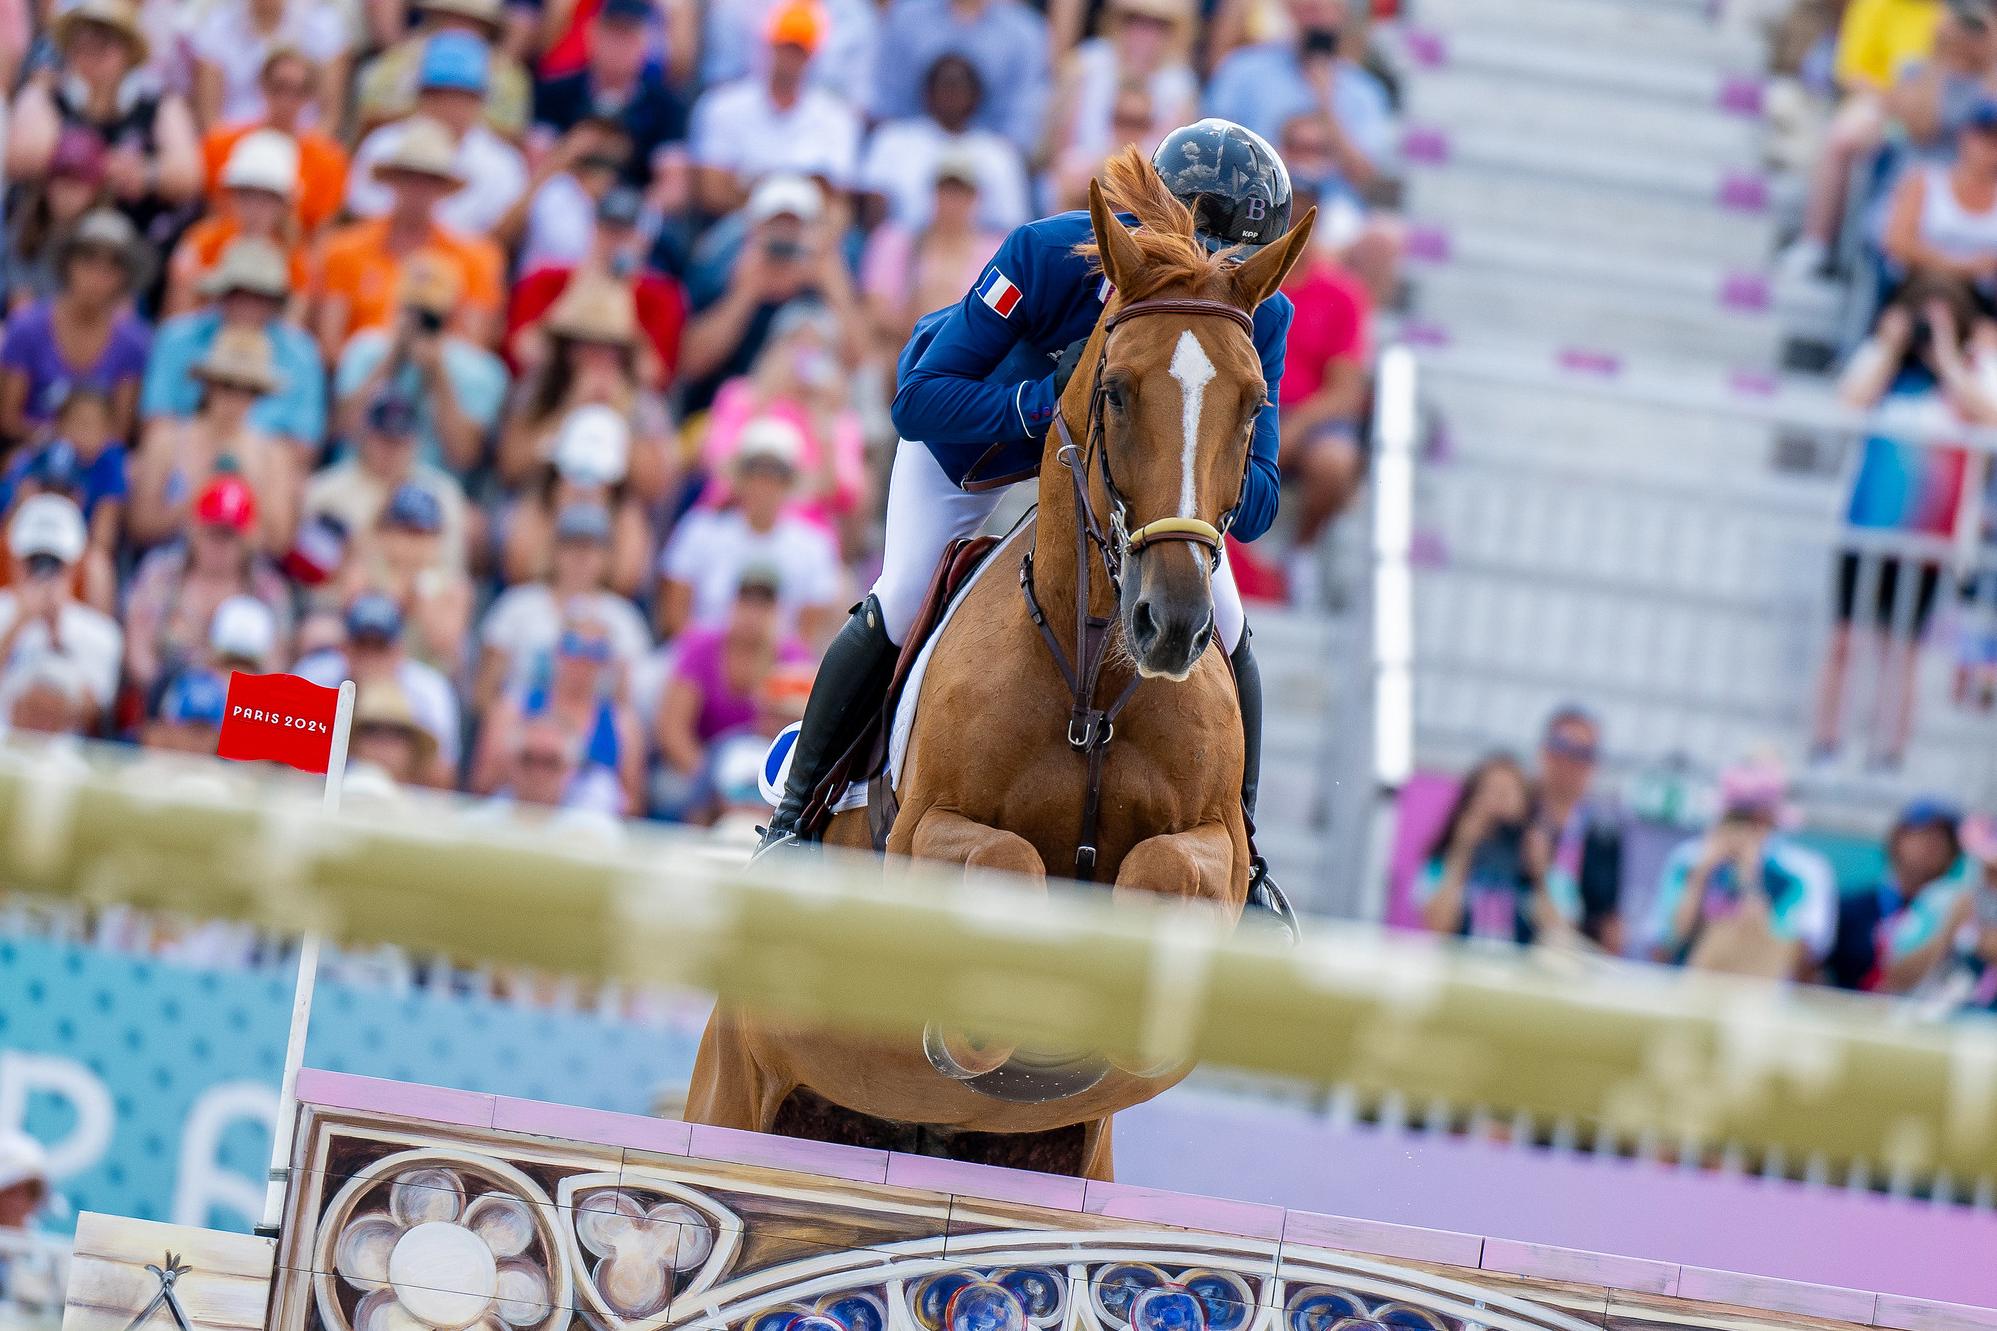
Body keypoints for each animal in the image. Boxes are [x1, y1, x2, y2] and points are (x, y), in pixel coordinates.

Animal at [678, 149, 1318, 1175]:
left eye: (1254, 403)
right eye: (1114, 390)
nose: (1172, 625)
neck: (1092, 681)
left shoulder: (1214, 850)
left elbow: (1165, 874)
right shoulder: (924, 834)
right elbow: (1007, 864)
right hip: (734, 1092)